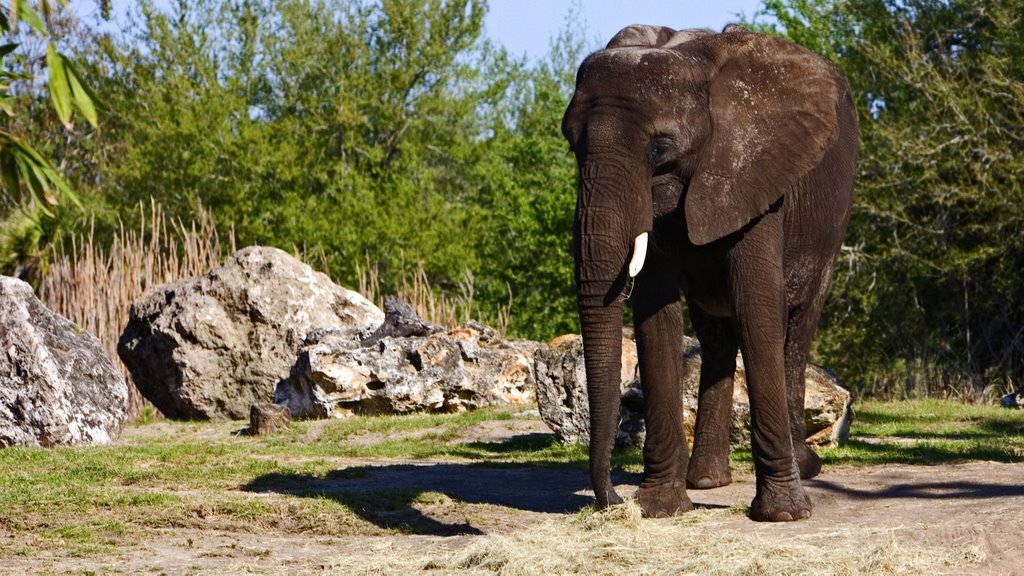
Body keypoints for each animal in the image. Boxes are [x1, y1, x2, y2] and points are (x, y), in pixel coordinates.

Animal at [565, 23, 860, 520]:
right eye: (571, 143)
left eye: (660, 147)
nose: (613, 501)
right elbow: (655, 316)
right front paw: (661, 509)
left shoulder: (756, 173)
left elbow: (757, 306)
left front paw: (782, 514)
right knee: (717, 336)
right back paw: (705, 481)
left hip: (832, 225)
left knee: (796, 328)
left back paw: (804, 468)